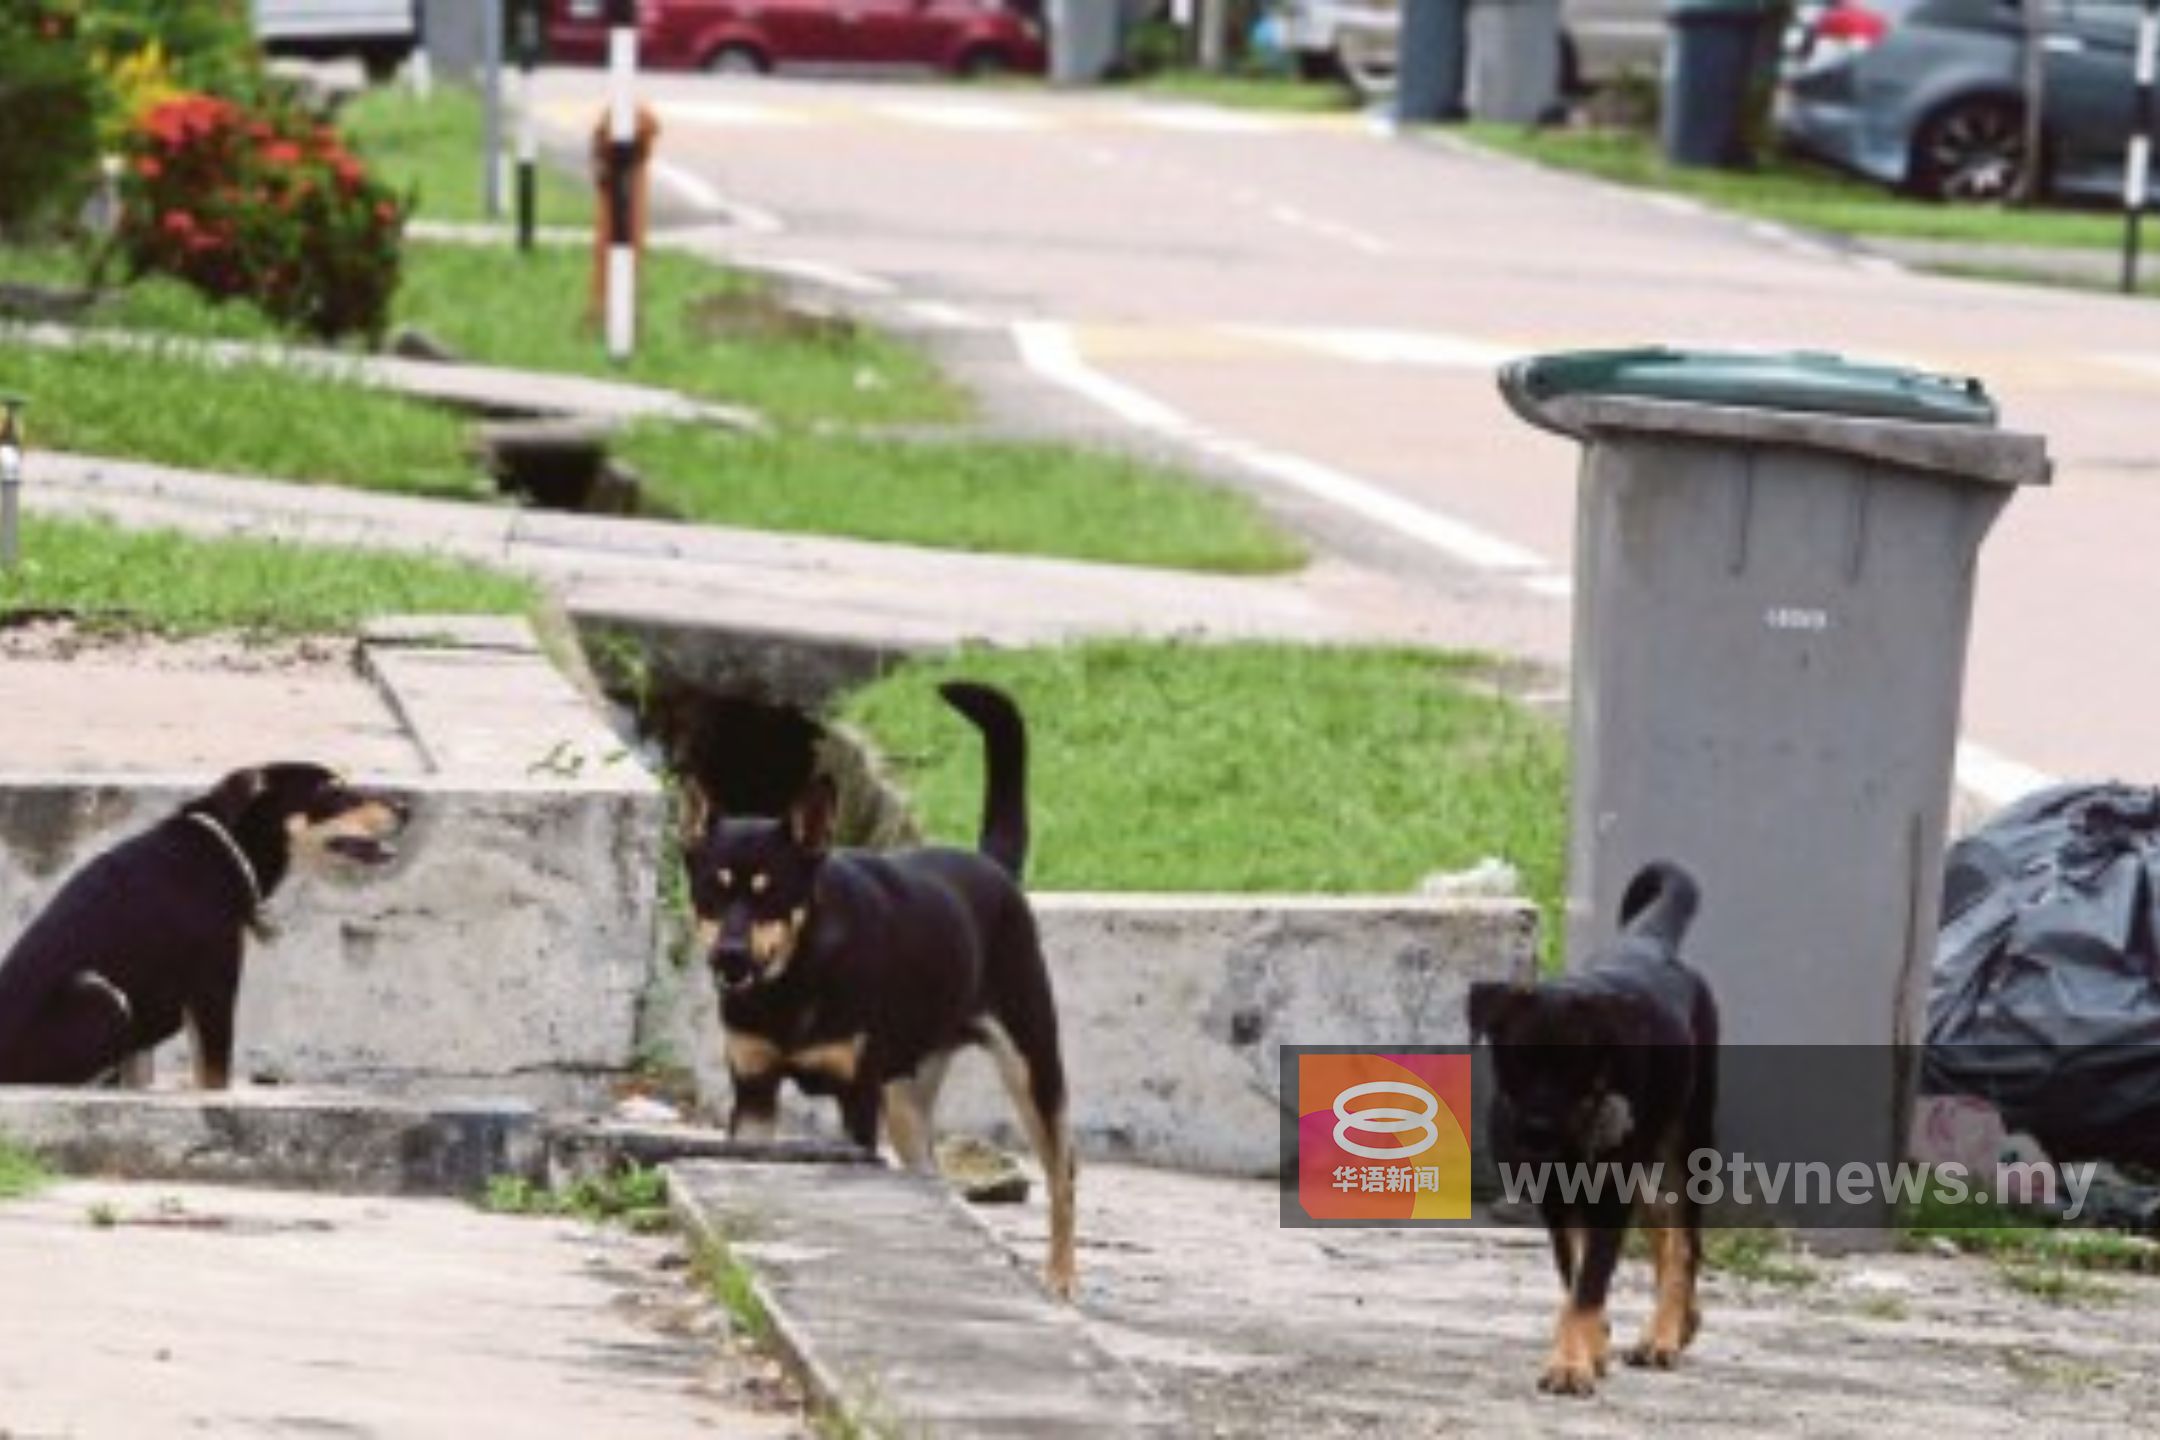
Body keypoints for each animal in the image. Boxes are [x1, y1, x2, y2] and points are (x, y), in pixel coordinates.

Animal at [0, 772, 408, 1088]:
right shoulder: (214, 979)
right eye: (333, 792)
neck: (225, 849)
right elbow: (214, 1074)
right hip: (98, 996)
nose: (406, 809)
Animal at [678, 682, 1075, 1303]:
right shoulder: (755, 1091)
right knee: (931, 1174)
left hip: (1031, 1062)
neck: (797, 974)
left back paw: (1060, 1277)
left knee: (1064, 1171)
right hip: (907, 1099)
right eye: (709, 894)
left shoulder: (857, 1100)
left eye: (770, 894)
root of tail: (994, 866)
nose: (729, 958)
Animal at [1468, 863, 1719, 1398]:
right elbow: (1576, 1274)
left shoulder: (1608, 1193)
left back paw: (1663, 1335)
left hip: (1687, 1139)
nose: (1536, 1133)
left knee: (1686, 1242)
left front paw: (1570, 1365)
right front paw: (1591, 1348)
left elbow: (1589, 1284)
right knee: (1663, 1228)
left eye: (1579, 1071)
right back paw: (1679, 1325)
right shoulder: (1556, 1197)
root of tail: (1649, 942)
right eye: (1517, 1061)